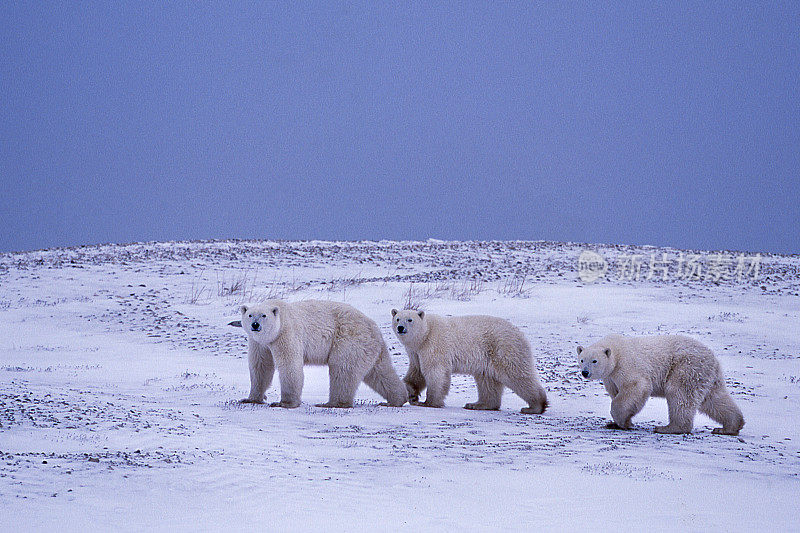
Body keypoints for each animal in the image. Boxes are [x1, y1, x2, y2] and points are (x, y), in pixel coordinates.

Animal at [239, 300, 406, 408]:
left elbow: (290, 366)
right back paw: (396, 399)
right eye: (250, 315)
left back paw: (332, 403)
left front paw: (284, 403)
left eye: (264, 316)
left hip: (349, 340)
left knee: (343, 369)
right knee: (381, 372)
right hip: (371, 348)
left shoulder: (286, 334)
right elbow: (261, 366)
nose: (255, 325)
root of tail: (375, 328)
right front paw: (251, 399)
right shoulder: (259, 343)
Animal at [390, 308, 552, 412]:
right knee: (487, 381)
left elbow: (435, 373)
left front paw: (428, 402)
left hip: (504, 349)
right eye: (397, 318)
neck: (426, 333)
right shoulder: (415, 352)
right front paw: (411, 393)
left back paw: (534, 406)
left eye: (410, 319)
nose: (400, 327)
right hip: (488, 358)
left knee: (517, 375)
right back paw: (477, 404)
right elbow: (417, 372)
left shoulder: (434, 345)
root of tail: (520, 334)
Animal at [580, 334, 748, 434]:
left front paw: (621, 421)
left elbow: (636, 387)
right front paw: (620, 422)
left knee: (679, 395)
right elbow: (617, 393)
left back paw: (669, 428)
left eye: (594, 361)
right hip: (706, 376)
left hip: (685, 367)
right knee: (715, 399)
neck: (616, 350)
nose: (585, 372)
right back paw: (730, 427)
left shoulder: (627, 366)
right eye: (582, 359)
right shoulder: (610, 377)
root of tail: (713, 358)